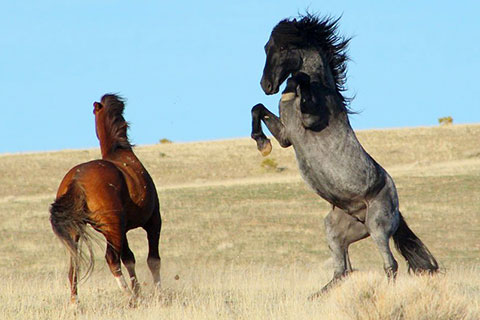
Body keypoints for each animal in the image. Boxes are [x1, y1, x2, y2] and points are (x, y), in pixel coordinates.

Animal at [49, 94, 161, 304]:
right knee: (112, 260)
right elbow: (153, 260)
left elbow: (130, 259)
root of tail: (77, 179)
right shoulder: (153, 220)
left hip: (79, 232)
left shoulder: (123, 230)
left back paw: (76, 304)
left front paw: (139, 291)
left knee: (74, 267)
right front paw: (158, 294)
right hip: (112, 229)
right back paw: (129, 297)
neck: (121, 153)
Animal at [251, 13, 438, 296]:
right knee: (342, 271)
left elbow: (302, 80)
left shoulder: (310, 119)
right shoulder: (286, 136)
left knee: (390, 265)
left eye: (284, 48)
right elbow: (257, 108)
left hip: (377, 226)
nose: (267, 85)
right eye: (266, 47)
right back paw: (314, 297)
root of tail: (395, 210)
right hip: (336, 230)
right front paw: (262, 143)